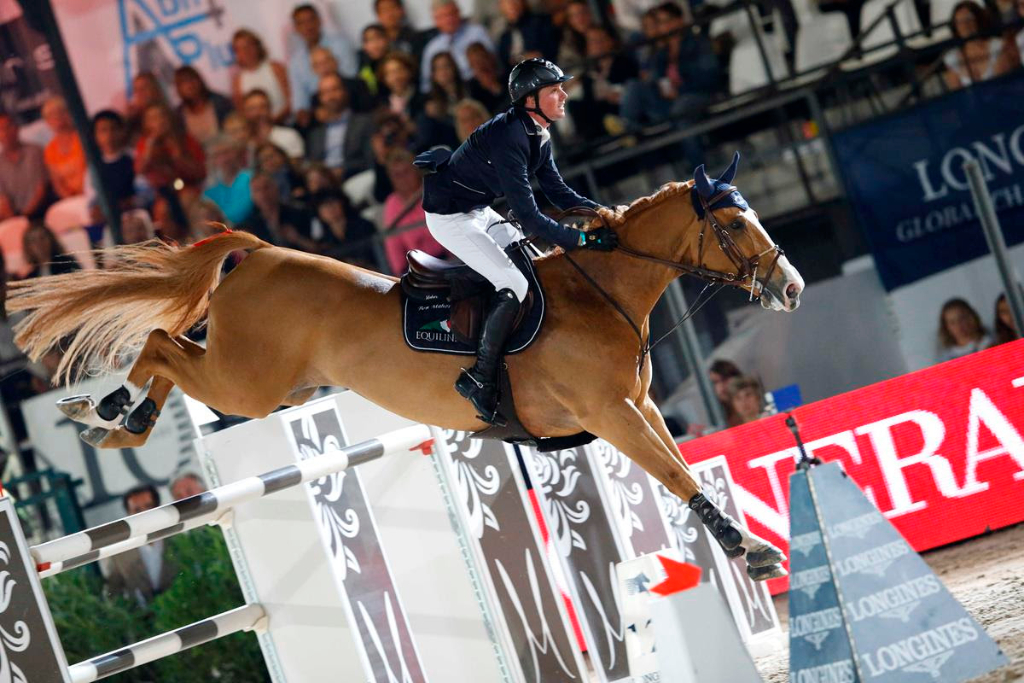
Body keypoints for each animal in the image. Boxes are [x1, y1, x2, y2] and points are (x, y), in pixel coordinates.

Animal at [9, 152, 806, 581]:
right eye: (733, 222)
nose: (792, 287)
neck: (599, 292)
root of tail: (261, 253)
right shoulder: (610, 415)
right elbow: (671, 472)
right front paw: (753, 555)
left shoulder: (636, 408)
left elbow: (681, 464)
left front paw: (748, 547)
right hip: (248, 383)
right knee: (158, 345)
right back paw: (111, 416)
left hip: (272, 385)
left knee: (169, 351)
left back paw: (116, 416)